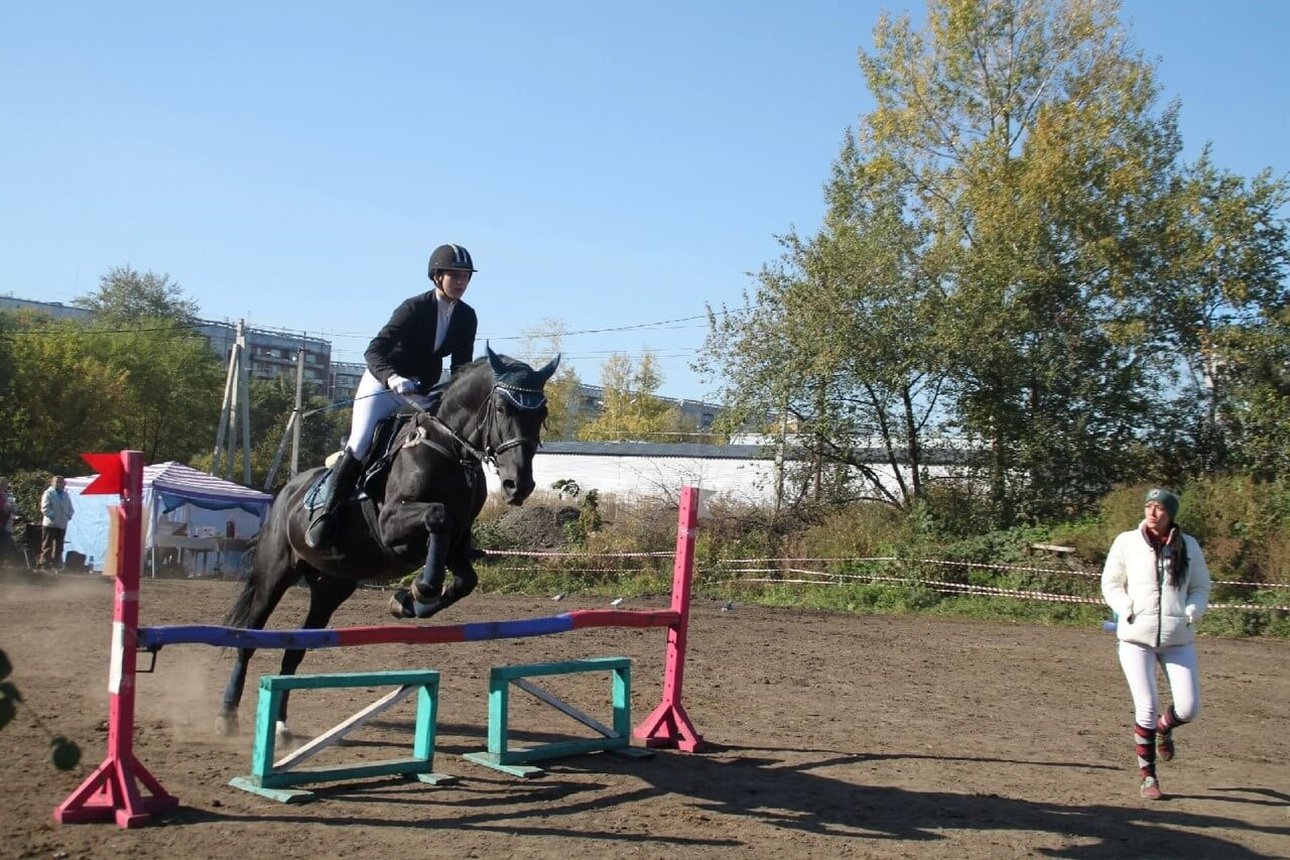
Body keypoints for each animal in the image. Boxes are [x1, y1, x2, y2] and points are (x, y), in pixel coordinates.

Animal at [218, 345, 559, 737]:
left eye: (542, 413)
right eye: (502, 408)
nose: (518, 485)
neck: (447, 449)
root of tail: (284, 493)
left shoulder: (456, 544)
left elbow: (464, 579)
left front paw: (406, 602)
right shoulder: (391, 527)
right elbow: (437, 517)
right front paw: (419, 590)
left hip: (332, 586)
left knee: (296, 650)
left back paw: (280, 723)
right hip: (275, 575)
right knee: (249, 639)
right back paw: (227, 715)